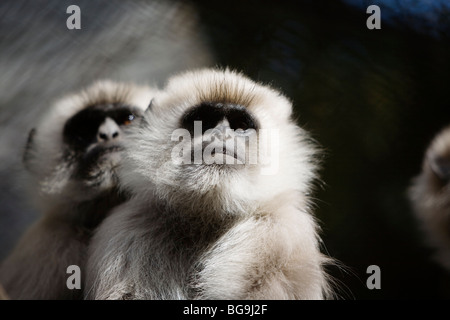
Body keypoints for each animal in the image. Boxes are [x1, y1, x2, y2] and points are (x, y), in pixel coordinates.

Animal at [86, 68, 334, 300]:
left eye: (240, 125)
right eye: (204, 121)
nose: (222, 134)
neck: (205, 222)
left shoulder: (279, 236)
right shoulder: (126, 229)